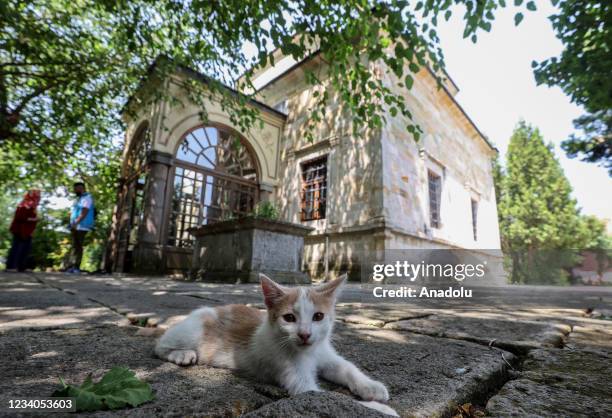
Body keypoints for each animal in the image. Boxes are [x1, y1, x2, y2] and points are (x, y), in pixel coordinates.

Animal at [151, 272, 394, 414]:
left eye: (318, 316)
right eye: (289, 318)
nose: (305, 334)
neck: (308, 352)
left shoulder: (326, 354)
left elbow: (347, 367)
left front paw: (372, 387)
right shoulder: (299, 382)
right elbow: (332, 397)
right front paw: (379, 409)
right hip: (191, 331)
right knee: (160, 344)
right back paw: (181, 354)